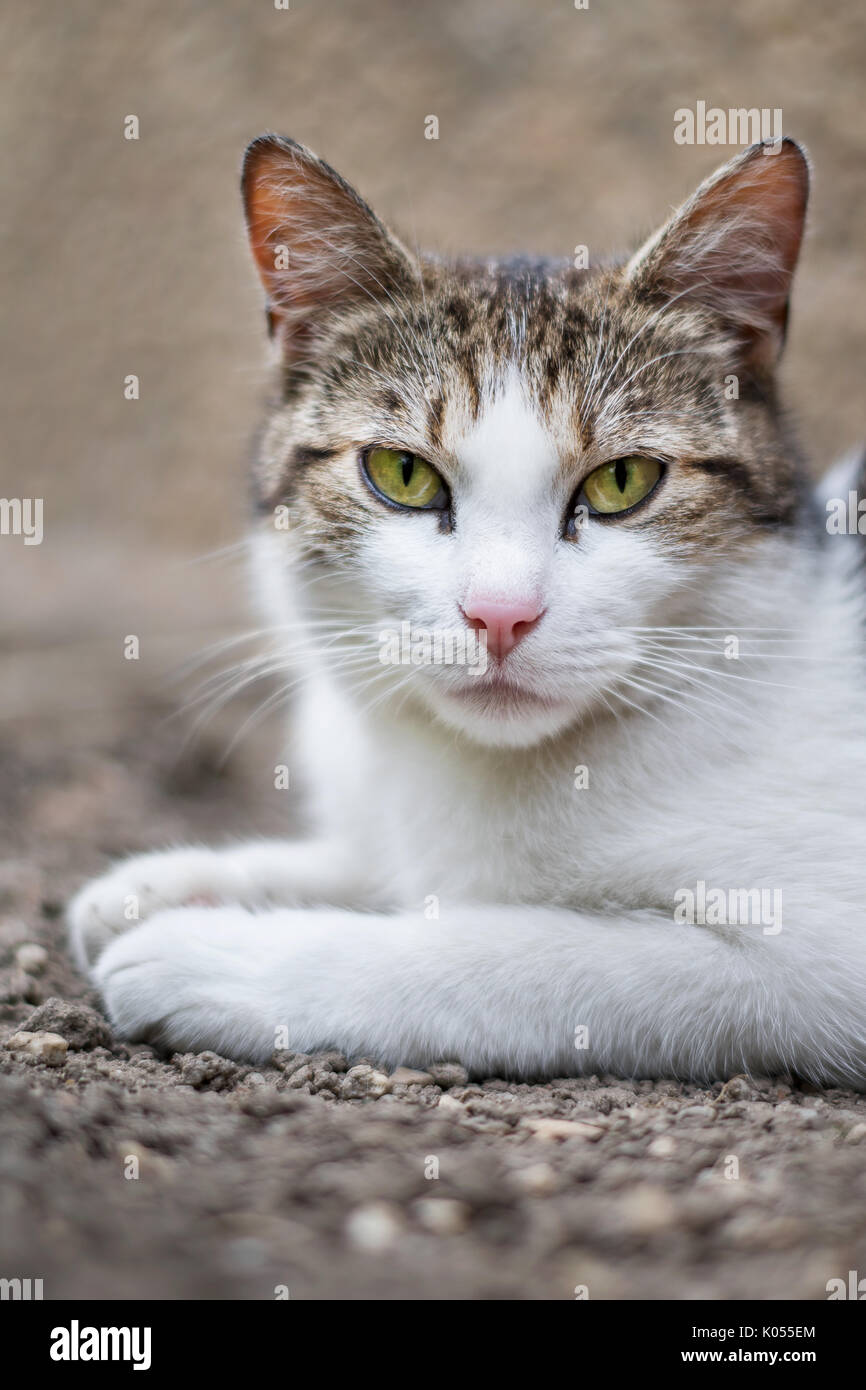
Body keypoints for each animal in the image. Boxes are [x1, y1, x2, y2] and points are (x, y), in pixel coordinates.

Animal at [66, 132, 866, 1084]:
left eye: (622, 481)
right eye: (403, 474)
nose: (500, 614)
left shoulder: (818, 955)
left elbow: (515, 948)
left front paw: (215, 953)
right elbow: (385, 870)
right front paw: (173, 884)